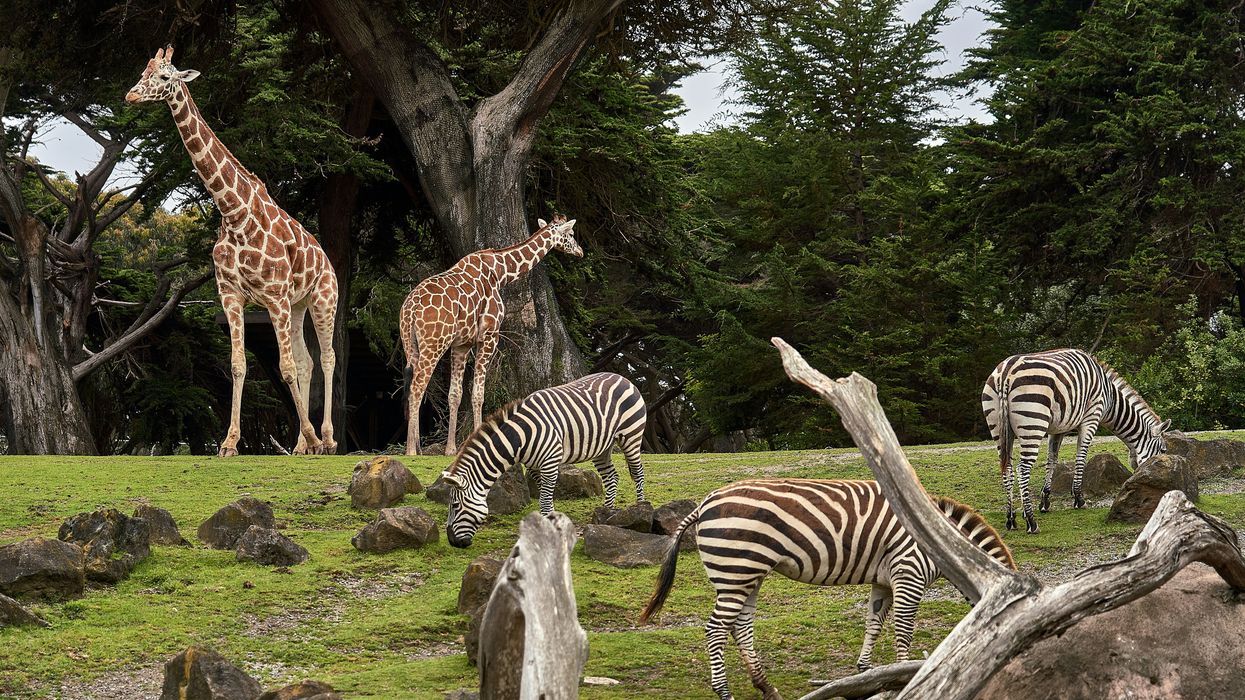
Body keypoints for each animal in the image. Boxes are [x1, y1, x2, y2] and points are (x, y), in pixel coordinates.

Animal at [126, 46, 339, 457]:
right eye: (143, 70)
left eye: (164, 77)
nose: (130, 95)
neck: (233, 212)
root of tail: (327, 260)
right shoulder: (231, 295)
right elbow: (239, 364)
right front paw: (228, 442)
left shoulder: (273, 297)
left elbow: (285, 367)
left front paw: (310, 436)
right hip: (298, 304)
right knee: (307, 361)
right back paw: (303, 445)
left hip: (323, 299)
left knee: (326, 357)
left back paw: (326, 438)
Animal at [400, 215, 582, 456]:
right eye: (570, 234)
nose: (580, 251)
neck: (500, 273)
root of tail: (410, 309)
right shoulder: (489, 336)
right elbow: (478, 393)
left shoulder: (462, 344)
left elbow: (455, 394)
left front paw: (451, 449)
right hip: (434, 344)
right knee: (417, 387)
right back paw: (411, 450)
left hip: (410, 343)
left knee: (412, 385)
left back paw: (416, 447)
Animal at [438, 372, 647, 548]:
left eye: (454, 506)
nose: (452, 542)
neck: (520, 437)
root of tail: (622, 377)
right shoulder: (533, 467)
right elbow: (544, 496)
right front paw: (549, 522)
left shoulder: (550, 462)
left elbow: (545, 500)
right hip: (602, 447)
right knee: (612, 477)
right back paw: (606, 512)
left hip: (631, 435)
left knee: (637, 472)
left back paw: (639, 510)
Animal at [639, 479, 1014, 700]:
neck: (944, 543)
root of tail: (705, 502)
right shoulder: (909, 574)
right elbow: (903, 630)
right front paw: (906, 673)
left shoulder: (884, 579)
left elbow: (874, 623)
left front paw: (867, 671)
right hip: (737, 569)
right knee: (716, 630)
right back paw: (725, 692)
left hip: (746, 574)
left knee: (739, 627)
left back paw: (767, 687)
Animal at [981, 348, 1171, 534]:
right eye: (1163, 451)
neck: (1110, 398)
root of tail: (1005, 373)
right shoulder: (1091, 418)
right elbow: (1081, 458)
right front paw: (1079, 498)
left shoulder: (1058, 428)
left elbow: (1052, 460)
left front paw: (1045, 501)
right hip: (1033, 423)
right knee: (1022, 470)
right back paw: (1031, 521)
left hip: (998, 427)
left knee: (1007, 469)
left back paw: (1011, 518)